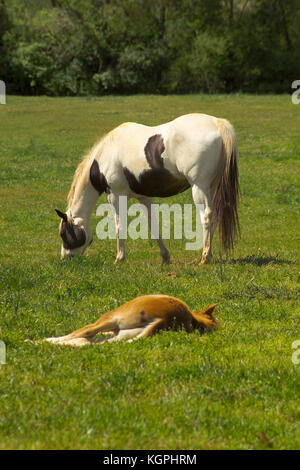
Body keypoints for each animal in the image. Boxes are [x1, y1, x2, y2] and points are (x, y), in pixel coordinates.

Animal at [55, 112, 239, 262]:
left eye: (63, 233)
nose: (65, 257)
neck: (104, 157)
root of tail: (217, 123)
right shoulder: (143, 197)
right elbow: (153, 224)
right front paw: (165, 257)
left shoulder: (115, 196)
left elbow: (119, 226)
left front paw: (119, 258)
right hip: (212, 187)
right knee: (215, 216)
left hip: (199, 187)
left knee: (207, 216)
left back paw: (205, 257)